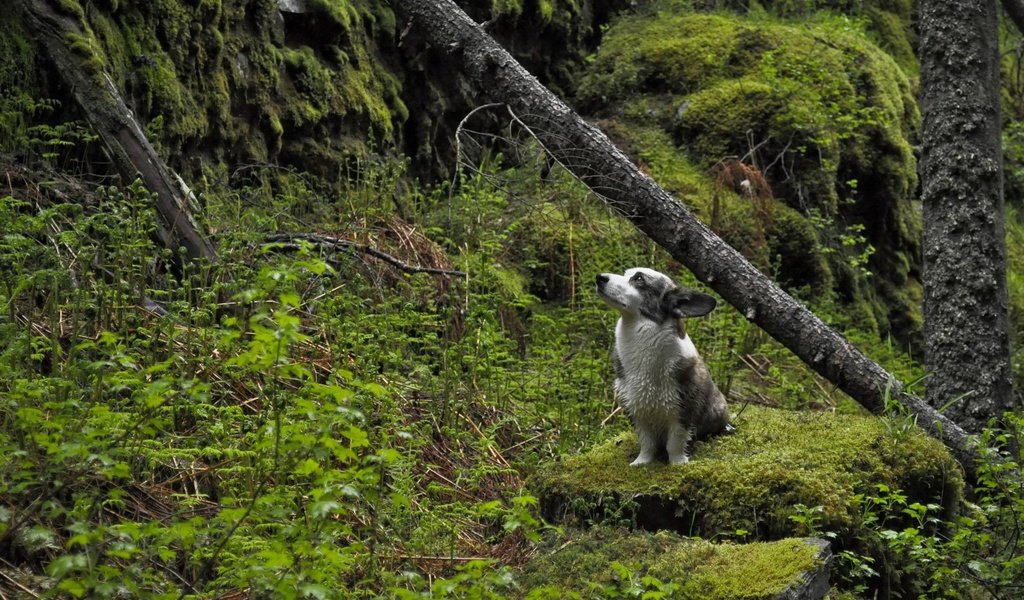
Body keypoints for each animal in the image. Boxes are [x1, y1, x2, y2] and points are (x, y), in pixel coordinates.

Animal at [598, 268, 733, 466]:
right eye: (626, 273)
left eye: (639, 278)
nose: (599, 278)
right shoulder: (637, 411)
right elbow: (647, 443)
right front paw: (641, 462)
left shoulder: (683, 411)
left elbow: (674, 443)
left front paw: (677, 463)